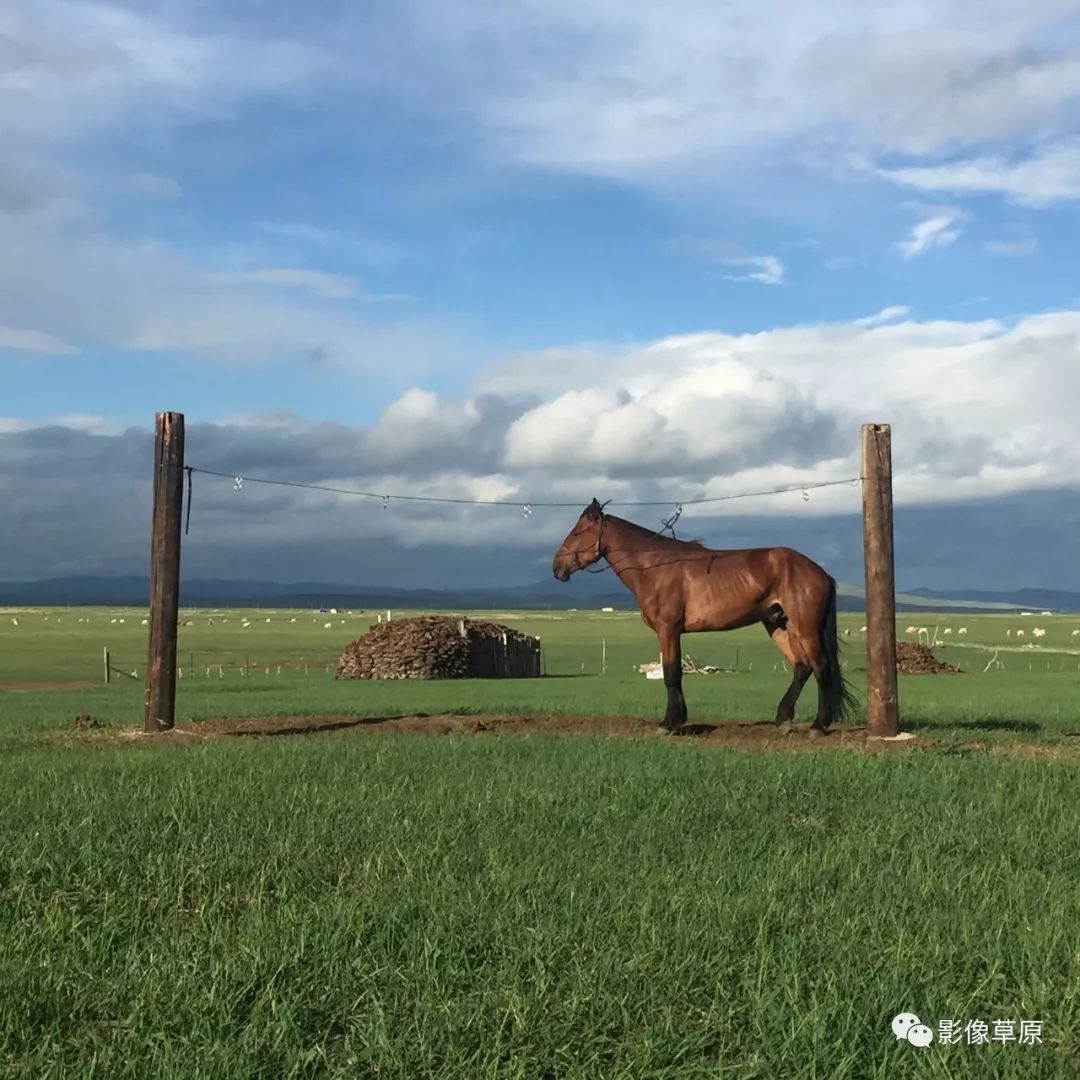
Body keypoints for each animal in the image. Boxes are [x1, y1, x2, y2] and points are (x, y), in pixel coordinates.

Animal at [552, 496, 855, 734]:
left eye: (578, 532)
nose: (557, 567)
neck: (654, 567)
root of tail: (818, 570)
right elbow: (675, 674)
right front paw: (678, 720)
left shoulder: (668, 629)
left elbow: (671, 673)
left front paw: (670, 723)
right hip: (779, 625)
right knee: (802, 667)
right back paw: (783, 719)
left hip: (806, 628)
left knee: (820, 667)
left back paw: (818, 725)